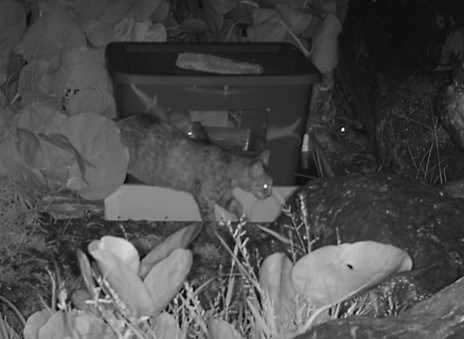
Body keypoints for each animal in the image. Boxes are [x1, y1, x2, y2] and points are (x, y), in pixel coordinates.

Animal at [118, 113, 274, 226]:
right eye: (266, 186)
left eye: (272, 184)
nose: (270, 195)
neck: (227, 166)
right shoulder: (204, 197)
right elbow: (210, 223)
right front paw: (218, 239)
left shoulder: (224, 196)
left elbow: (238, 207)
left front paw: (245, 222)